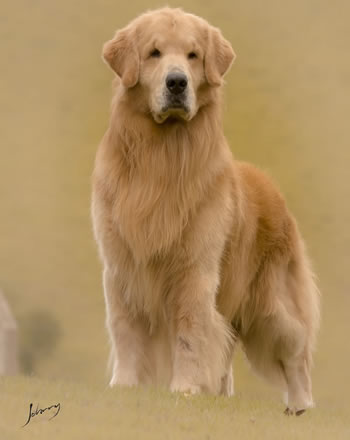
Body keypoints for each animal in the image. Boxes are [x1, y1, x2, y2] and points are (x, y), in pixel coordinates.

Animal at [91, 6, 320, 414]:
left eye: (193, 55)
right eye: (154, 53)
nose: (177, 82)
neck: (161, 157)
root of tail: (272, 187)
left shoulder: (194, 271)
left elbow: (189, 332)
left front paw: (184, 388)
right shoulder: (121, 267)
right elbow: (125, 328)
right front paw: (125, 385)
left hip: (273, 307)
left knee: (297, 354)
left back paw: (301, 405)